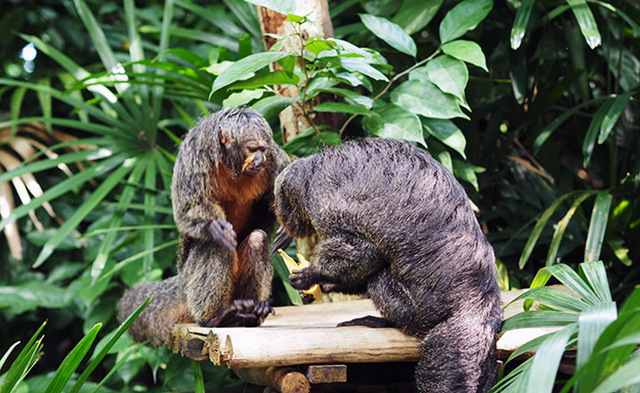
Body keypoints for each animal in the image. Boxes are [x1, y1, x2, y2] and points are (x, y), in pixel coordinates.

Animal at [117, 107, 290, 346]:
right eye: (252, 149)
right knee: (216, 243)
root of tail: (181, 285)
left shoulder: (273, 157)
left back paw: (254, 312)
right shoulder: (194, 154)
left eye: (262, 149)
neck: (232, 166)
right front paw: (213, 227)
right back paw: (215, 318)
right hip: (189, 281)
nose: (259, 159)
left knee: (257, 239)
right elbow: (187, 208)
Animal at [276, 138, 504, 392]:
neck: (312, 172)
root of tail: (479, 302)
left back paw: (383, 322)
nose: (282, 225)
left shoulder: (325, 198)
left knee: (379, 280)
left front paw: (312, 276)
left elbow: (363, 250)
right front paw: (324, 286)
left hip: (419, 312)